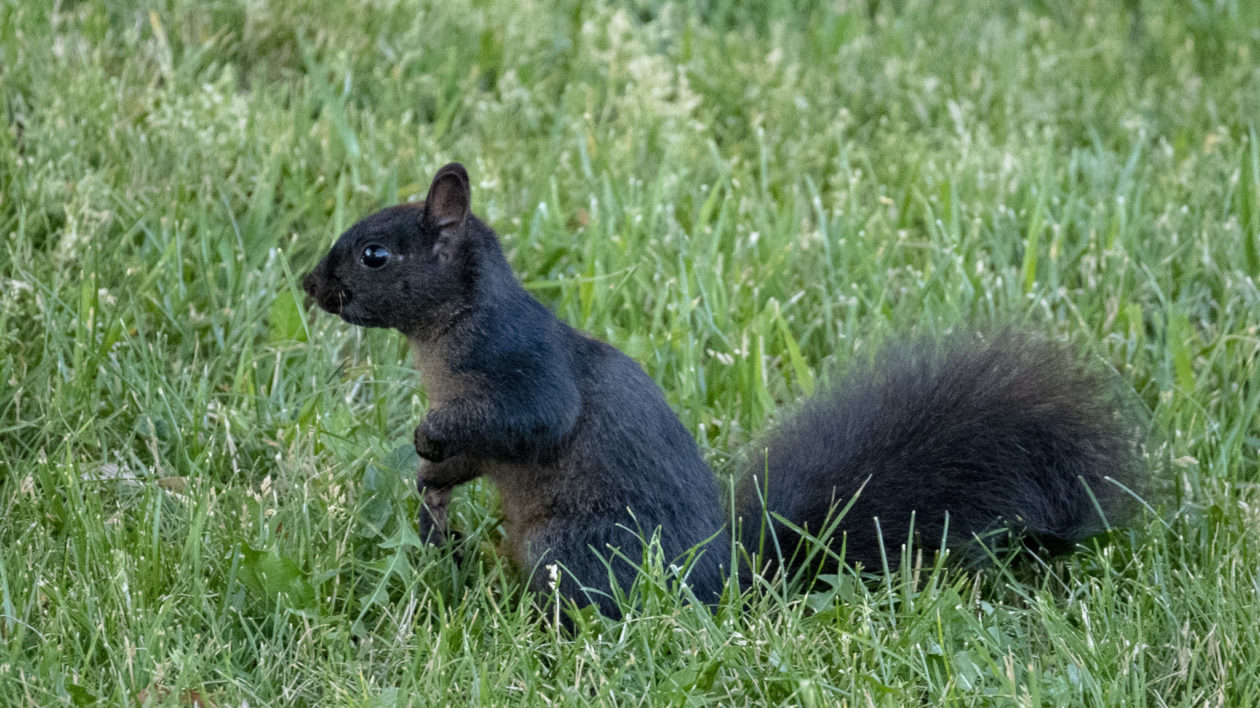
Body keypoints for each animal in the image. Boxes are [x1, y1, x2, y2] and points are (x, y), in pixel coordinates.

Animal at [299, 162, 1149, 614]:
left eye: (375, 255)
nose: (310, 285)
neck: (442, 336)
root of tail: (728, 585)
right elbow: (476, 457)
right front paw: (432, 483)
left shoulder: (517, 364)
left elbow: (532, 418)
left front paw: (428, 438)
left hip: (572, 547)